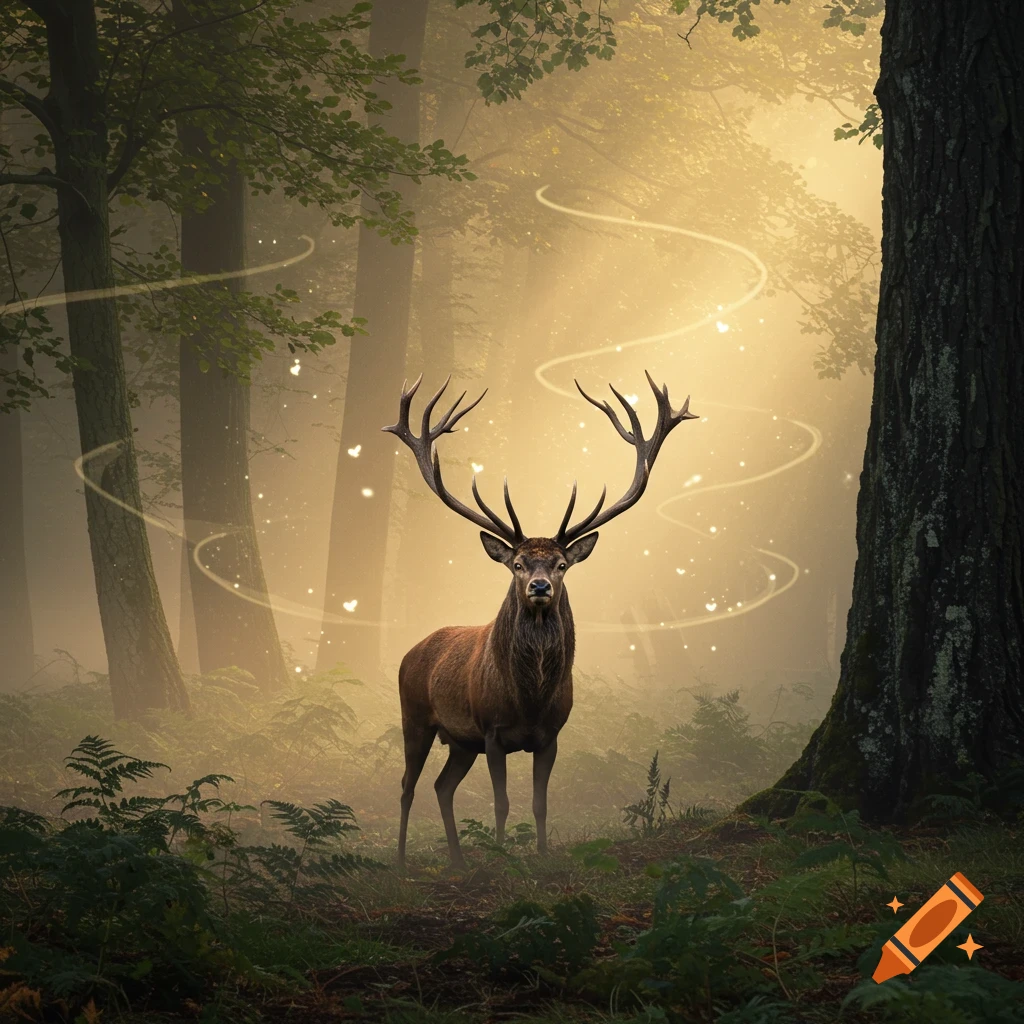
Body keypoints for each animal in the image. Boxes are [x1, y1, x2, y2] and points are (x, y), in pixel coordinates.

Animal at [384, 370, 697, 868]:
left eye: (561, 564)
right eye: (517, 563)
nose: (539, 587)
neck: (528, 698)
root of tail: (410, 651)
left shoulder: (550, 734)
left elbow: (539, 802)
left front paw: (544, 854)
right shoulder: (492, 731)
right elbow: (501, 802)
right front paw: (499, 854)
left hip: (461, 741)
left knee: (441, 786)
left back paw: (457, 859)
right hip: (414, 715)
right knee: (407, 786)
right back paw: (398, 859)